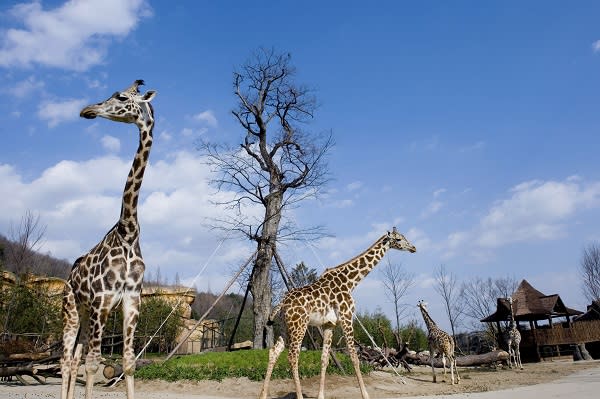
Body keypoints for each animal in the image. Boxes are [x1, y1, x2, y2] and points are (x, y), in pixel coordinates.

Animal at [59, 79, 155, 399]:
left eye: (122, 97)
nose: (87, 110)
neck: (129, 232)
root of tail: (68, 278)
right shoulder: (102, 299)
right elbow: (93, 363)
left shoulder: (131, 299)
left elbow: (128, 361)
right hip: (72, 309)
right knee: (66, 359)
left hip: (86, 314)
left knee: (74, 358)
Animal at [258, 228, 418, 399]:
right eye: (399, 239)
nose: (413, 248)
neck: (350, 282)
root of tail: (282, 303)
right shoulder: (347, 317)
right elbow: (354, 357)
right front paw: (365, 394)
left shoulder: (329, 324)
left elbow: (325, 359)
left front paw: (321, 395)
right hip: (299, 325)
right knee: (293, 356)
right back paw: (298, 396)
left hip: (285, 327)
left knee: (274, 352)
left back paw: (263, 395)